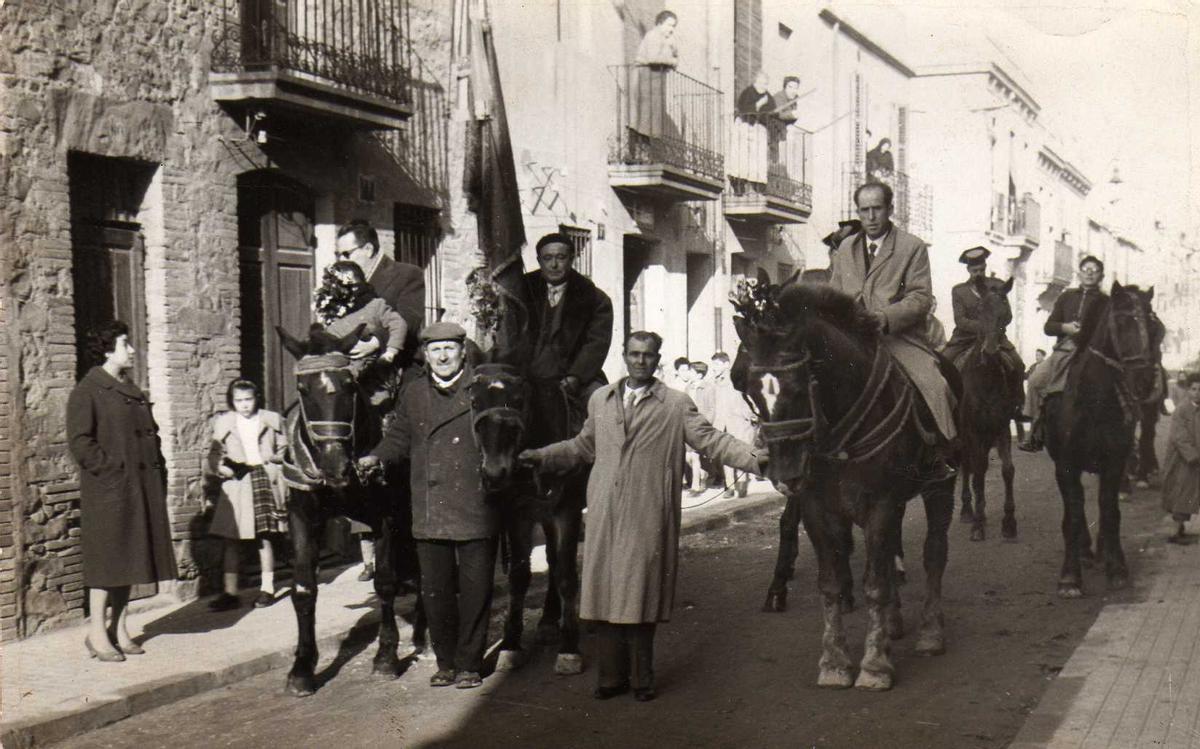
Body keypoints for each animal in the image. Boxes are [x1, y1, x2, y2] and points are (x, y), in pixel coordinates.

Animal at [274, 326, 424, 696]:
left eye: (349, 386)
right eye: (303, 389)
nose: (335, 467)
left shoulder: (387, 517)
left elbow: (385, 582)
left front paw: (386, 656)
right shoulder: (302, 516)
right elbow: (303, 588)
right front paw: (302, 668)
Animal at [729, 276, 955, 691]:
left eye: (798, 387)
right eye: (752, 391)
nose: (783, 471)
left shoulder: (881, 503)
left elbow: (875, 583)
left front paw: (875, 665)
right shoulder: (818, 509)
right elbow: (831, 583)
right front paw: (835, 662)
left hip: (939, 486)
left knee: (934, 553)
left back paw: (931, 632)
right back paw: (893, 623)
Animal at [950, 278, 1017, 540]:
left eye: (1005, 310)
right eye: (980, 311)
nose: (989, 351)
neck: (986, 379)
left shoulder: (1001, 428)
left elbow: (1007, 470)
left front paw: (1009, 522)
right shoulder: (973, 431)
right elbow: (977, 473)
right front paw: (978, 524)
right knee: (969, 467)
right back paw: (968, 510)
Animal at [1046, 280, 1156, 597]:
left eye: (1153, 326)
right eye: (1121, 322)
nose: (1145, 381)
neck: (1094, 401)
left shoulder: (1114, 462)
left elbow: (1109, 510)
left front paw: (1116, 568)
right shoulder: (1066, 464)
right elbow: (1072, 515)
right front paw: (1070, 576)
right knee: (1075, 506)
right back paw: (1084, 550)